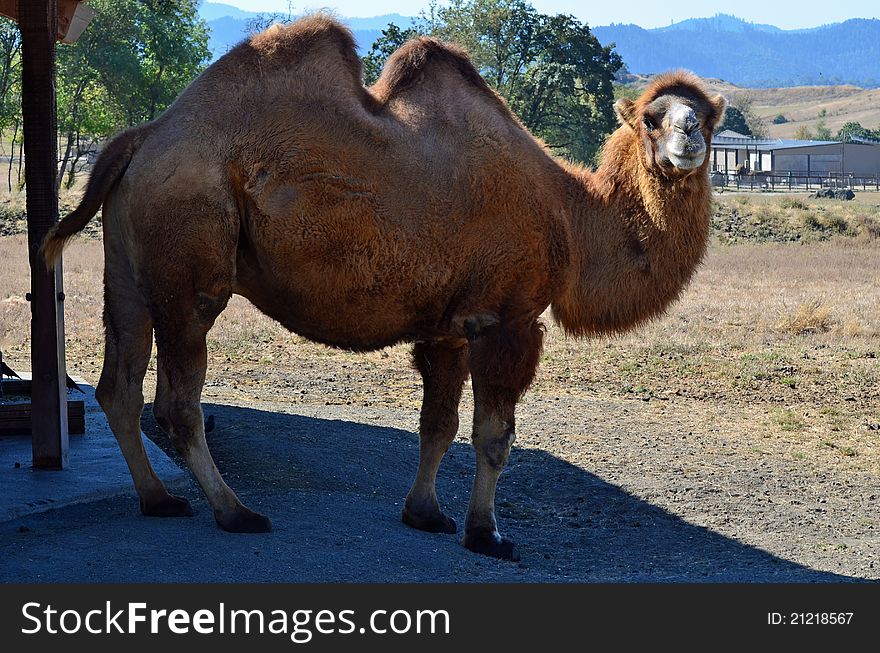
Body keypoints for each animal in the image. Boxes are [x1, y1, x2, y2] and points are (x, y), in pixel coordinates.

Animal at [41, 17, 724, 564]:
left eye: (706, 116)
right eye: (652, 118)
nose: (688, 137)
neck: (570, 216)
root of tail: (142, 137)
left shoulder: (449, 328)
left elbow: (437, 425)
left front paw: (424, 515)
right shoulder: (505, 319)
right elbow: (493, 437)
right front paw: (487, 535)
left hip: (128, 268)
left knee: (119, 385)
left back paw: (159, 499)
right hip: (190, 268)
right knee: (177, 401)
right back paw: (236, 512)